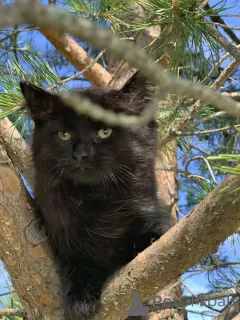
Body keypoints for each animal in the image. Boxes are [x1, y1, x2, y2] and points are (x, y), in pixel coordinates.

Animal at [19, 74, 170, 320]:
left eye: (104, 132)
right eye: (64, 135)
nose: (81, 154)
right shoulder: (62, 238)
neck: (99, 200)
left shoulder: (150, 212)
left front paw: (149, 242)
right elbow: (77, 266)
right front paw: (81, 302)